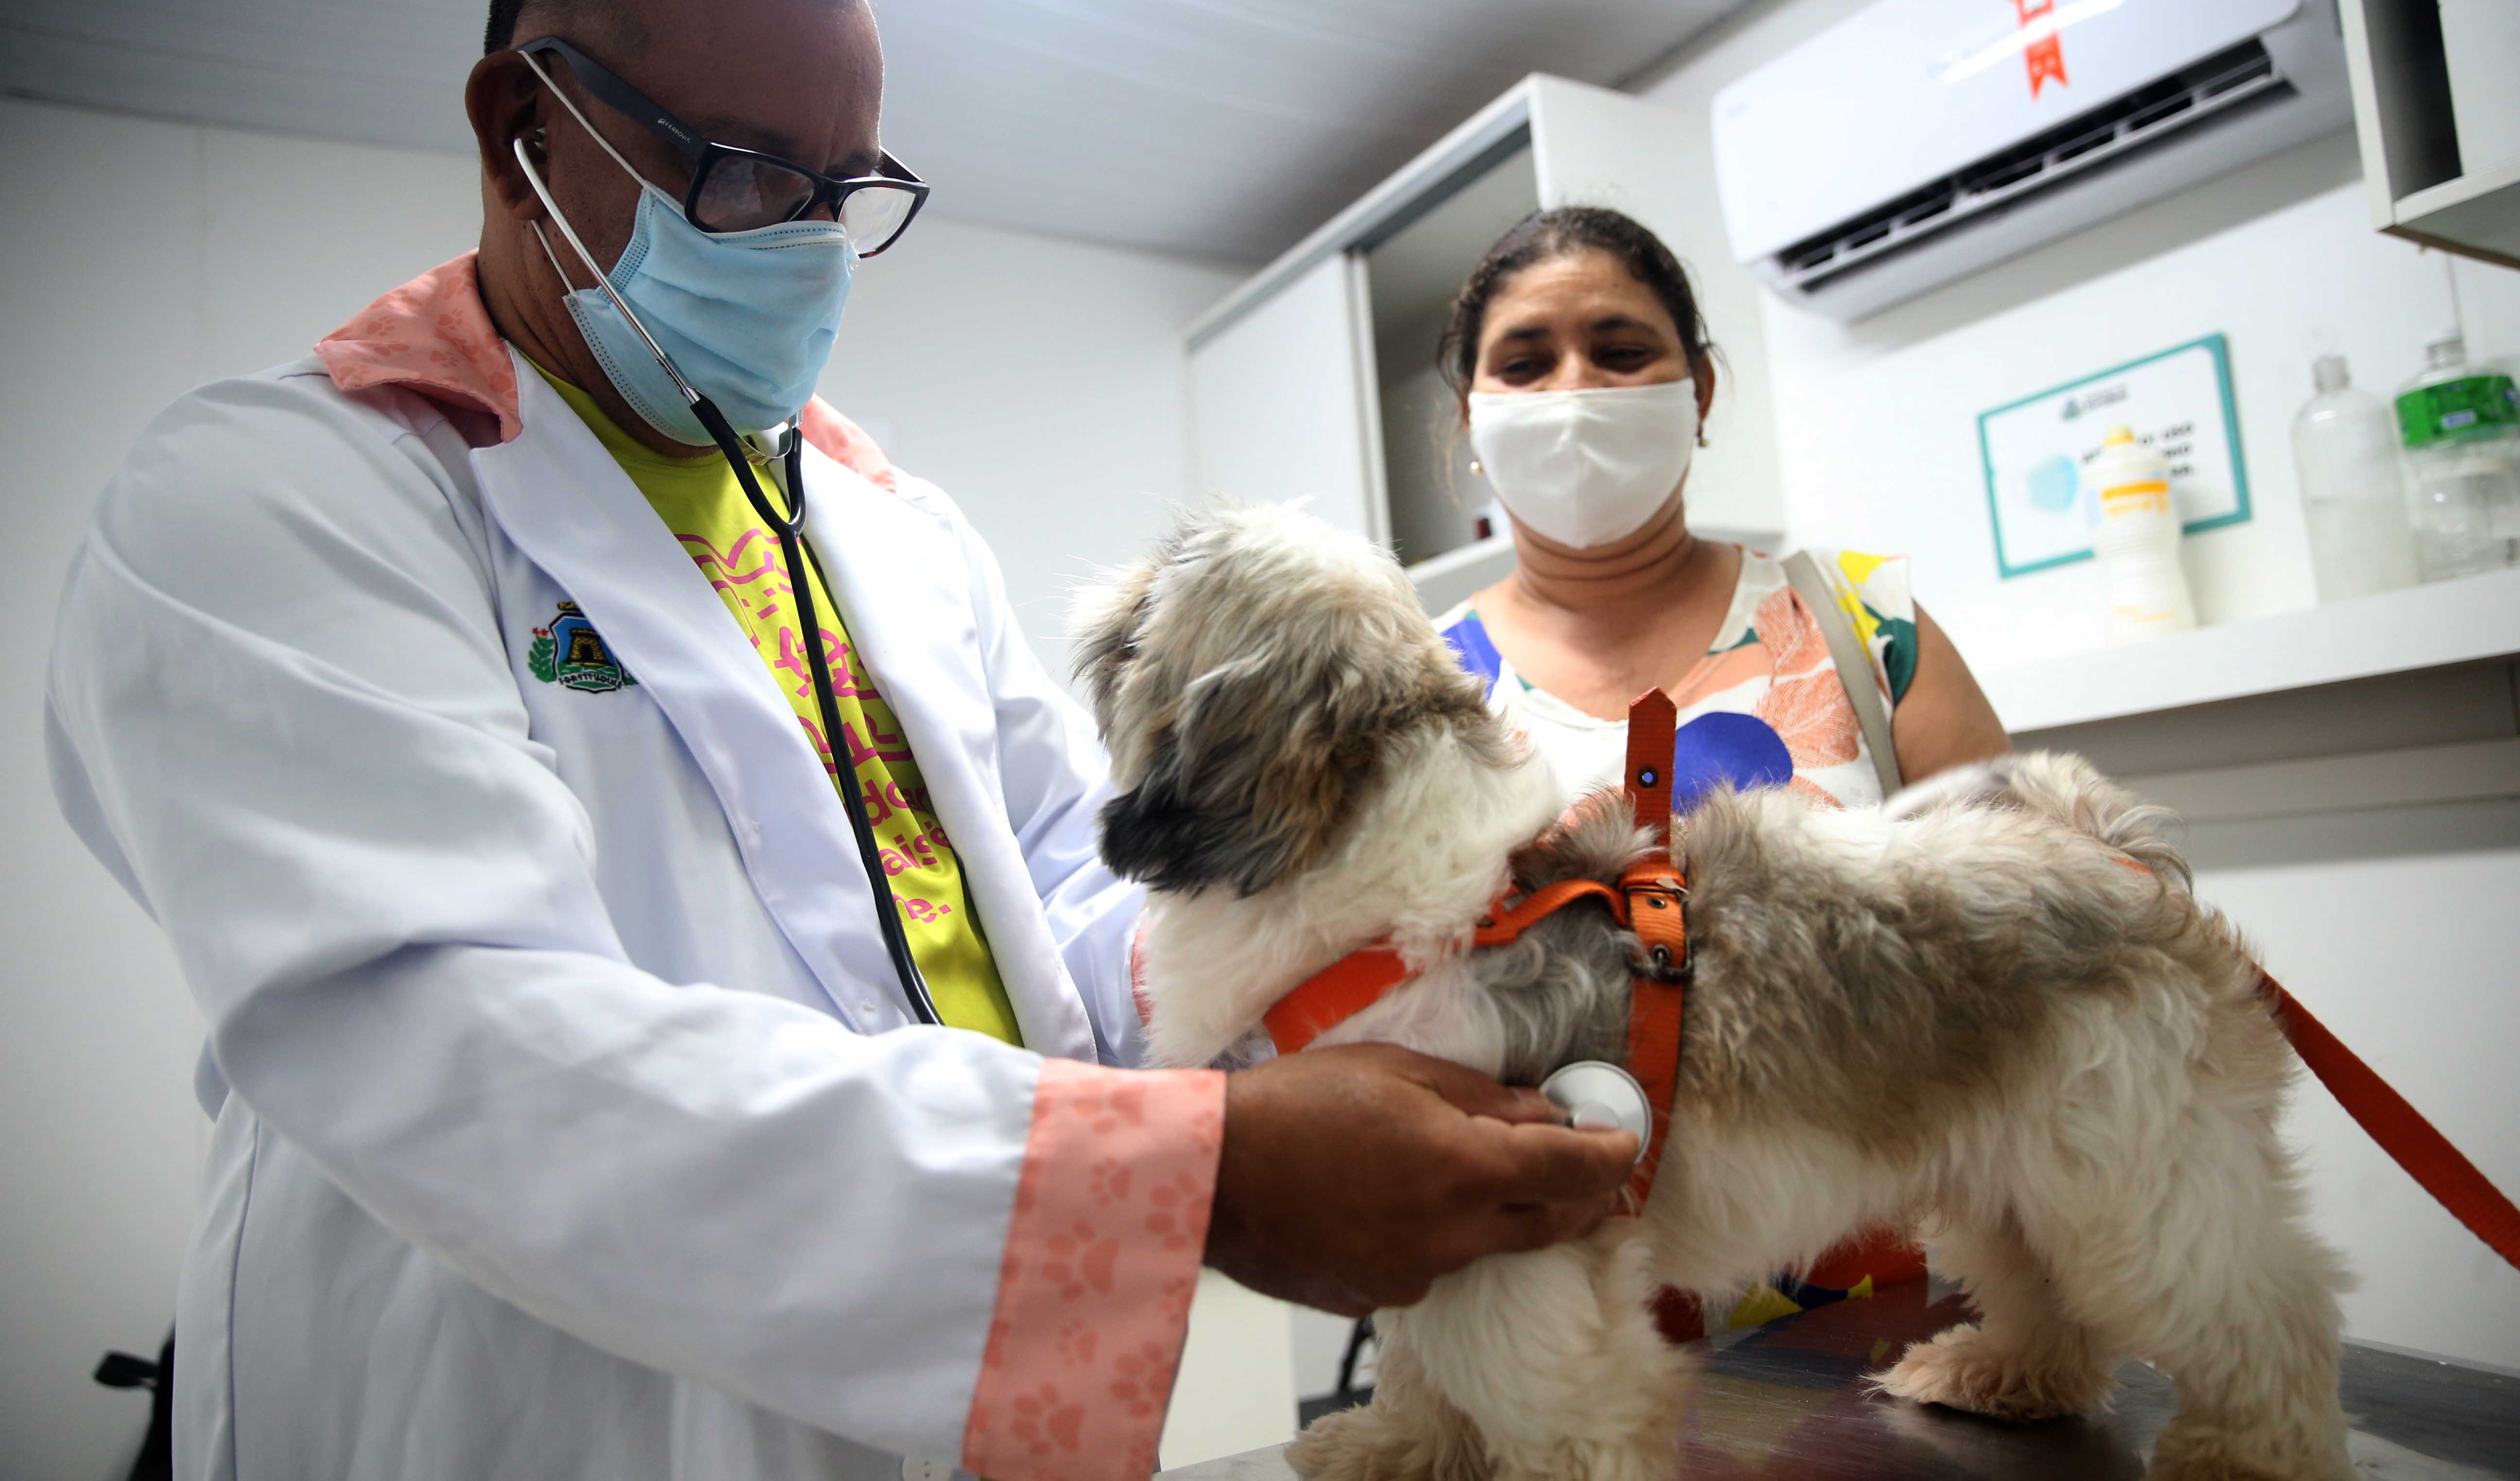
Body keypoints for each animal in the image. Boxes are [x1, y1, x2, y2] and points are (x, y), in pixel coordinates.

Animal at [1073, 506, 2348, 1481]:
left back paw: (2248, 1451)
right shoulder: (1420, 1217)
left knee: (2261, 1314)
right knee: (2049, 1294)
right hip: (2015, 1165)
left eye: (1158, 596)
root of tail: (2111, 847)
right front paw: (1397, 1446)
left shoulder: (1522, 1239)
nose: (1109, 576)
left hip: (2141, 1171)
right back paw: (2003, 1373)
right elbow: (1425, 1362)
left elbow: (1543, 1396)